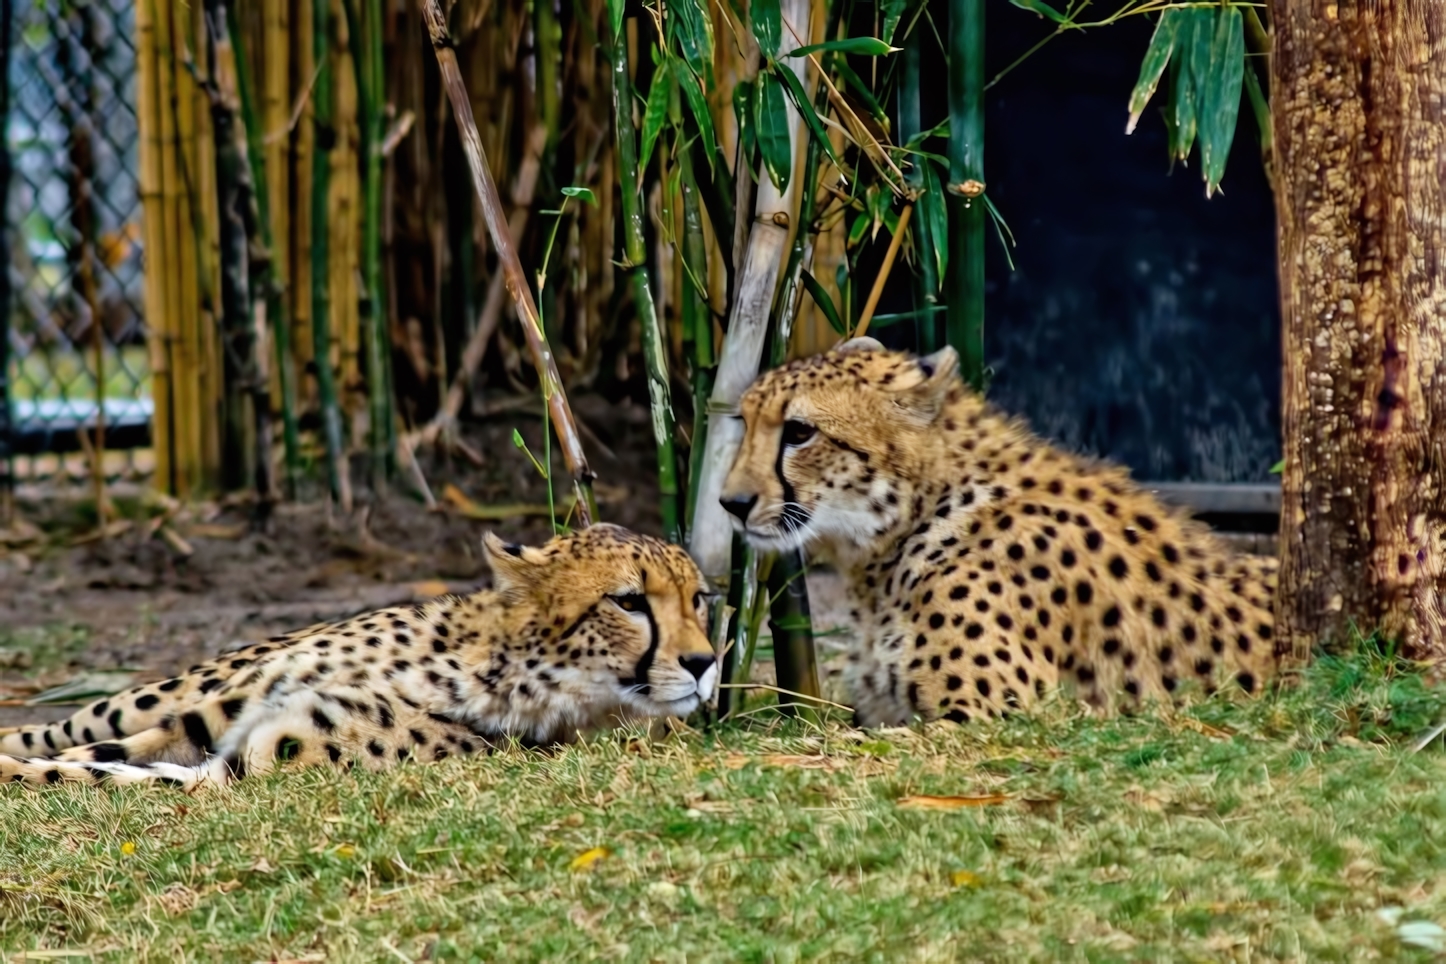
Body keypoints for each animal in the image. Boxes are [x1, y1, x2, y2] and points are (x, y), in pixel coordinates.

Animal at [0, 523, 720, 786]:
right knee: (62, 728)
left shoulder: (253, 763)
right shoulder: (211, 723)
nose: (704, 663)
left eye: (699, 601)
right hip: (167, 696)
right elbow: (81, 757)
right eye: (629, 601)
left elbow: (90, 774)